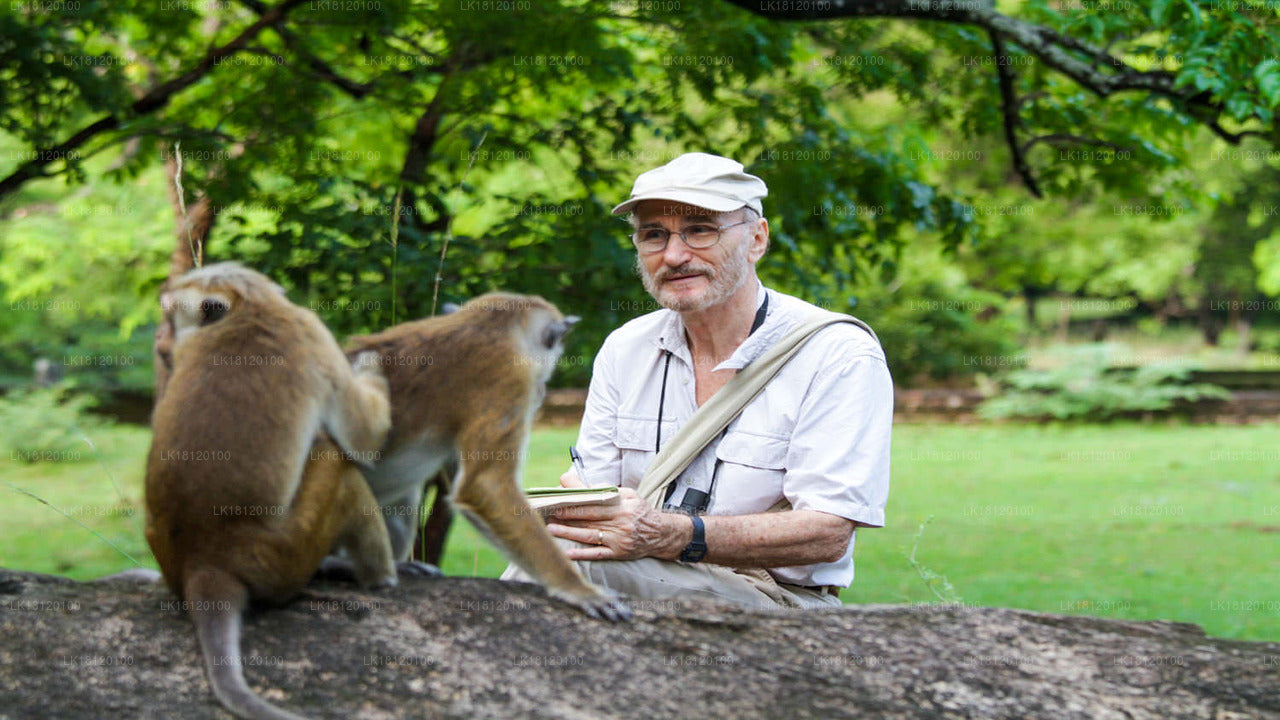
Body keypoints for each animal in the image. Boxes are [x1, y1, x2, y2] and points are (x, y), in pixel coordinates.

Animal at [145, 262, 398, 720]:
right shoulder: (310, 329)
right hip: (284, 555)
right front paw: (371, 365)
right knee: (340, 465)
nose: (160, 341)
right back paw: (380, 579)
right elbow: (365, 438)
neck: (249, 309)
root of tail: (203, 559)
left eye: (170, 316)